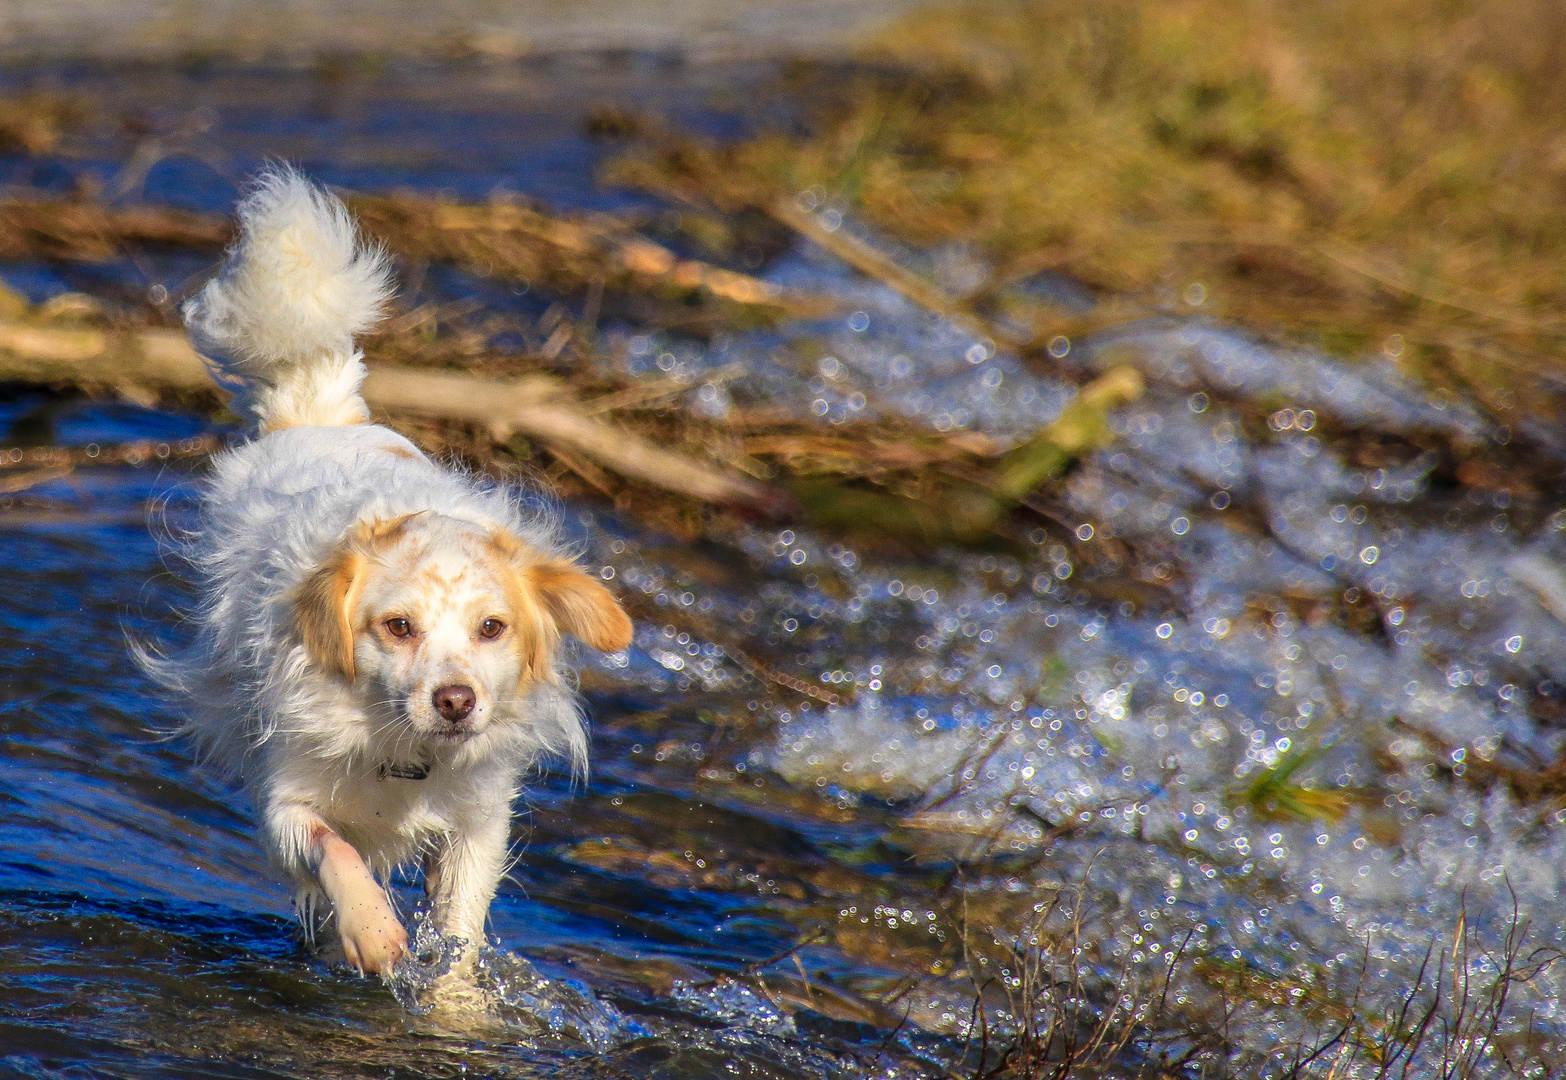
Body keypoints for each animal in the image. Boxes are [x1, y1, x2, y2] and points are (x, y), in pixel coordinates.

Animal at [144, 165, 632, 976]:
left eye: (492, 628)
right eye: (398, 628)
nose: (456, 700)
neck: (406, 755)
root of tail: (318, 414)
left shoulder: (476, 826)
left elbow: (460, 927)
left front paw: (454, 995)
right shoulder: (286, 804)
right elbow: (334, 850)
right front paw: (372, 932)